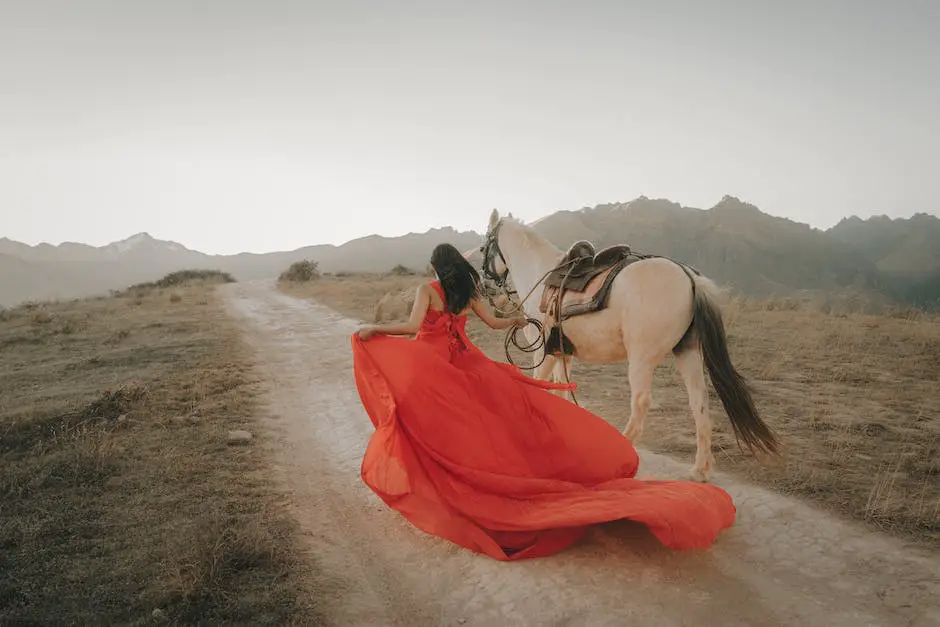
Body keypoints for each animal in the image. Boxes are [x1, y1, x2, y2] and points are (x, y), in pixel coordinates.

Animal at [478, 209, 780, 484]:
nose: (485, 285)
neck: (540, 274)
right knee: (700, 402)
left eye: (483, 247)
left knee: (641, 405)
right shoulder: (563, 353)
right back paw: (700, 470)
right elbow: (560, 391)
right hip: (688, 353)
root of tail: (689, 278)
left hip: (642, 359)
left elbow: (539, 388)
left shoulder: (543, 352)